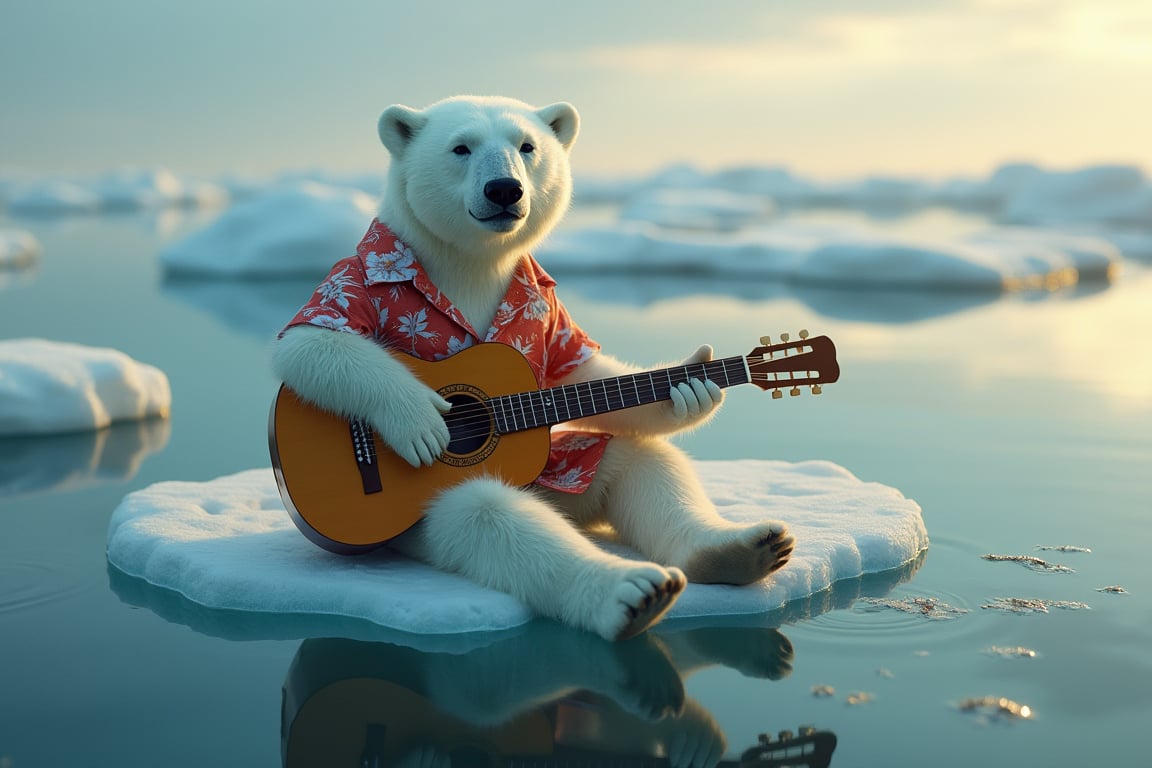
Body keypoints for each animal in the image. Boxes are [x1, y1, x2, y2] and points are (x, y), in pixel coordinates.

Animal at [269, 96, 792, 640]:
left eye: (527, 146)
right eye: (461, 147)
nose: (504, 188)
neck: (472, 262)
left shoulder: (553, 316)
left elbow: (584, 373)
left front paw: (693, 387)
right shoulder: (354, 274)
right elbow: (311, 341)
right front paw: (420, 423)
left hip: (563, 475)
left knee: (635, 459)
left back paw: (738, 550)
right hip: (407, 521)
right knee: (485, 514)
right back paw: (632, 593)